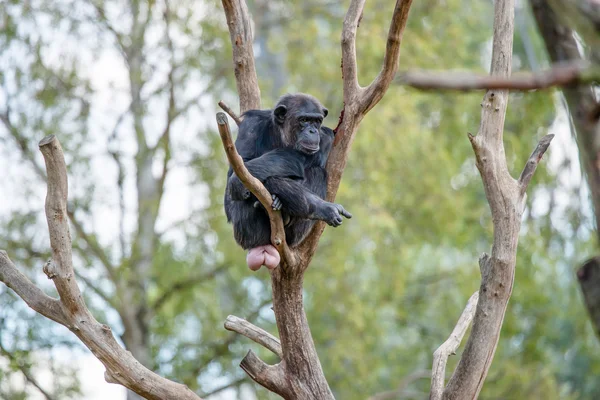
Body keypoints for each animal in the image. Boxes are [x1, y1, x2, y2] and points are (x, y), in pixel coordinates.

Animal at [223, 92, 350, 270]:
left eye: (317, 121)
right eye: (304, 120)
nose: (312, 130)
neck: (282, 134)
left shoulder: (325, 138)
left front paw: (319, 205)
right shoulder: (251, 125)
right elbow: (239, 167)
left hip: (296, 237)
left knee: (317, 172)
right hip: (245, 234)